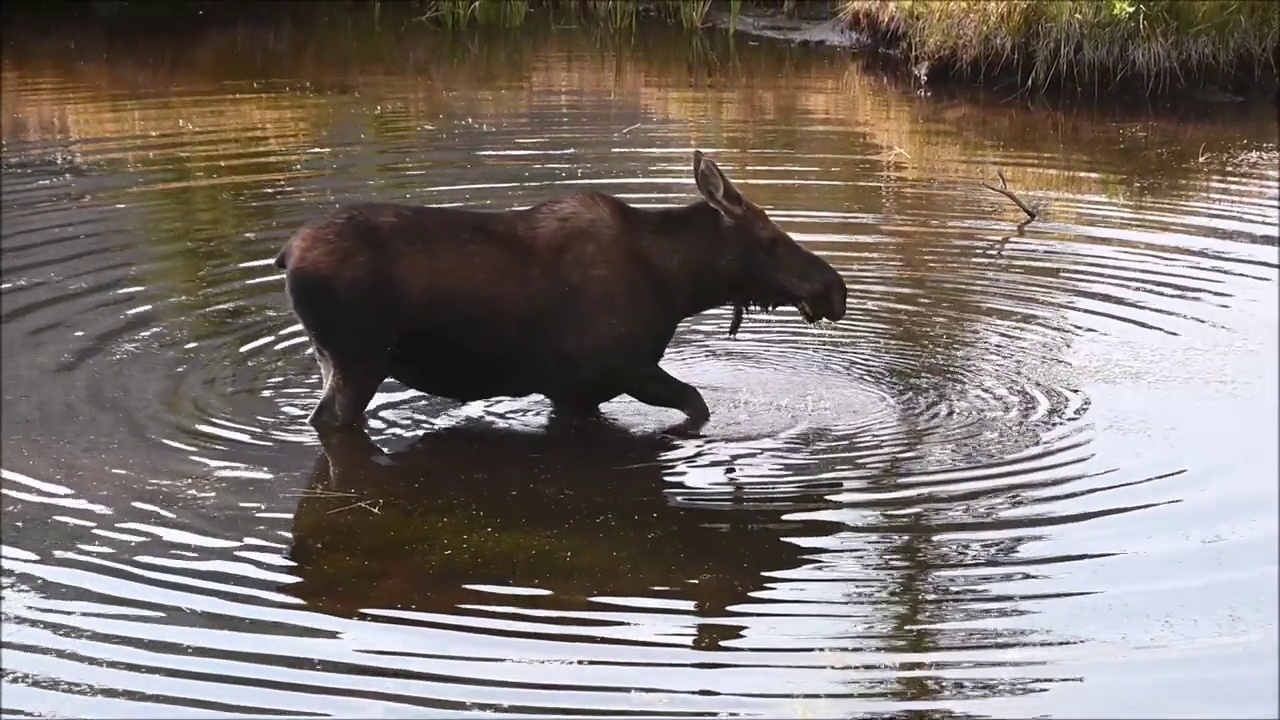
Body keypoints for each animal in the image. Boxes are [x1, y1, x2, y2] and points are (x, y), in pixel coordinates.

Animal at [275, 149, 844, 435]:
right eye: (770, 239)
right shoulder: (621, 368)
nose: (835, 289)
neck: (679, 286)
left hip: (332, 358)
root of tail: (287, 253)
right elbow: (697, 403)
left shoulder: (574, 391)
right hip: (359, 359)